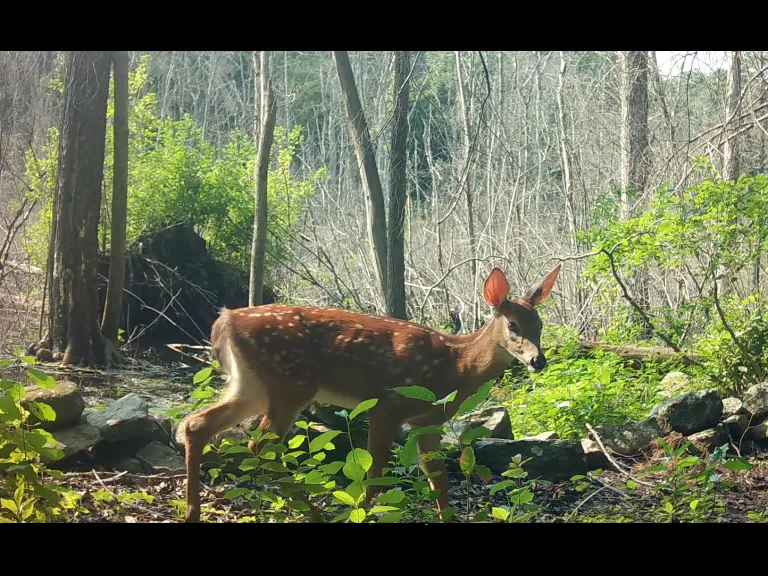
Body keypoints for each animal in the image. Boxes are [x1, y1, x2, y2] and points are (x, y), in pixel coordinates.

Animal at [176, 264, 560, 523]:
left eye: (540, 326)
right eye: (513, 326)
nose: (538, 360)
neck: (457, 365)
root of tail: (225, 321)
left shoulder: (427, 421)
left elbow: (439, 482)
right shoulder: (388, 405)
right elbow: (374, 476)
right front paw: (357, 512)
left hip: (252, 386)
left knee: (197, 425)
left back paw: (193, 512)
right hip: (290, 383)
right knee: (261, 446)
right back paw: (315, 514)